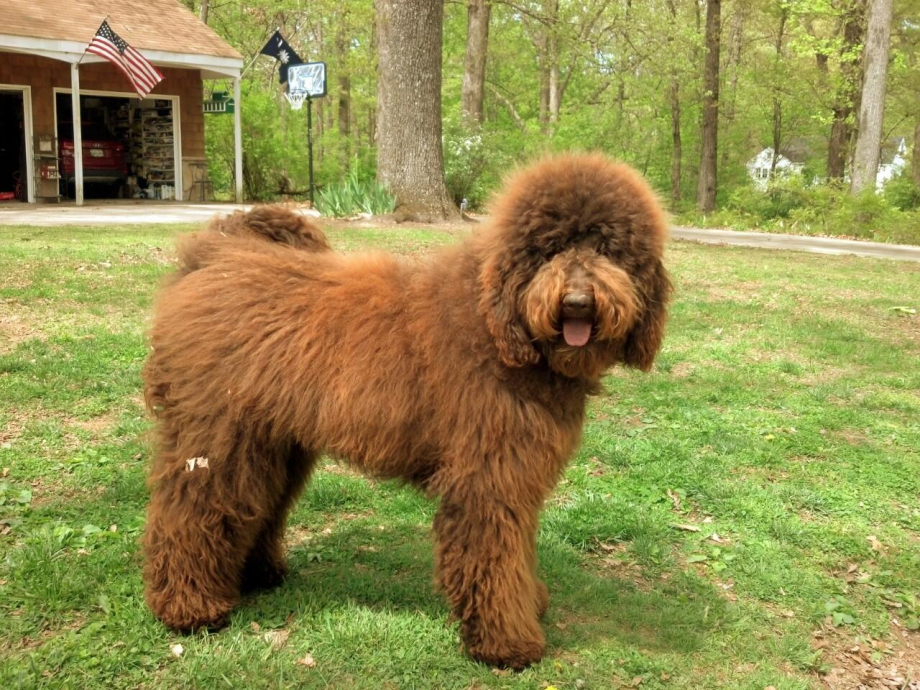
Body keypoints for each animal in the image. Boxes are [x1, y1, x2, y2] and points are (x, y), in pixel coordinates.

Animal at [146, 152, 676, 668]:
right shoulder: (487, 479)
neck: (496, 324)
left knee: (254, 505)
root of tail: (211, 256)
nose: (578, 302)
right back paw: (189, 609)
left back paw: (256, 575)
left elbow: (518, 550)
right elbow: (495, 560)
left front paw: (531, 603)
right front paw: (508, 645)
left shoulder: (516, 477)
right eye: (549, 250)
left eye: (608, 249)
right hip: (215, 437)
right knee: (191, 510)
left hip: (274, 444)